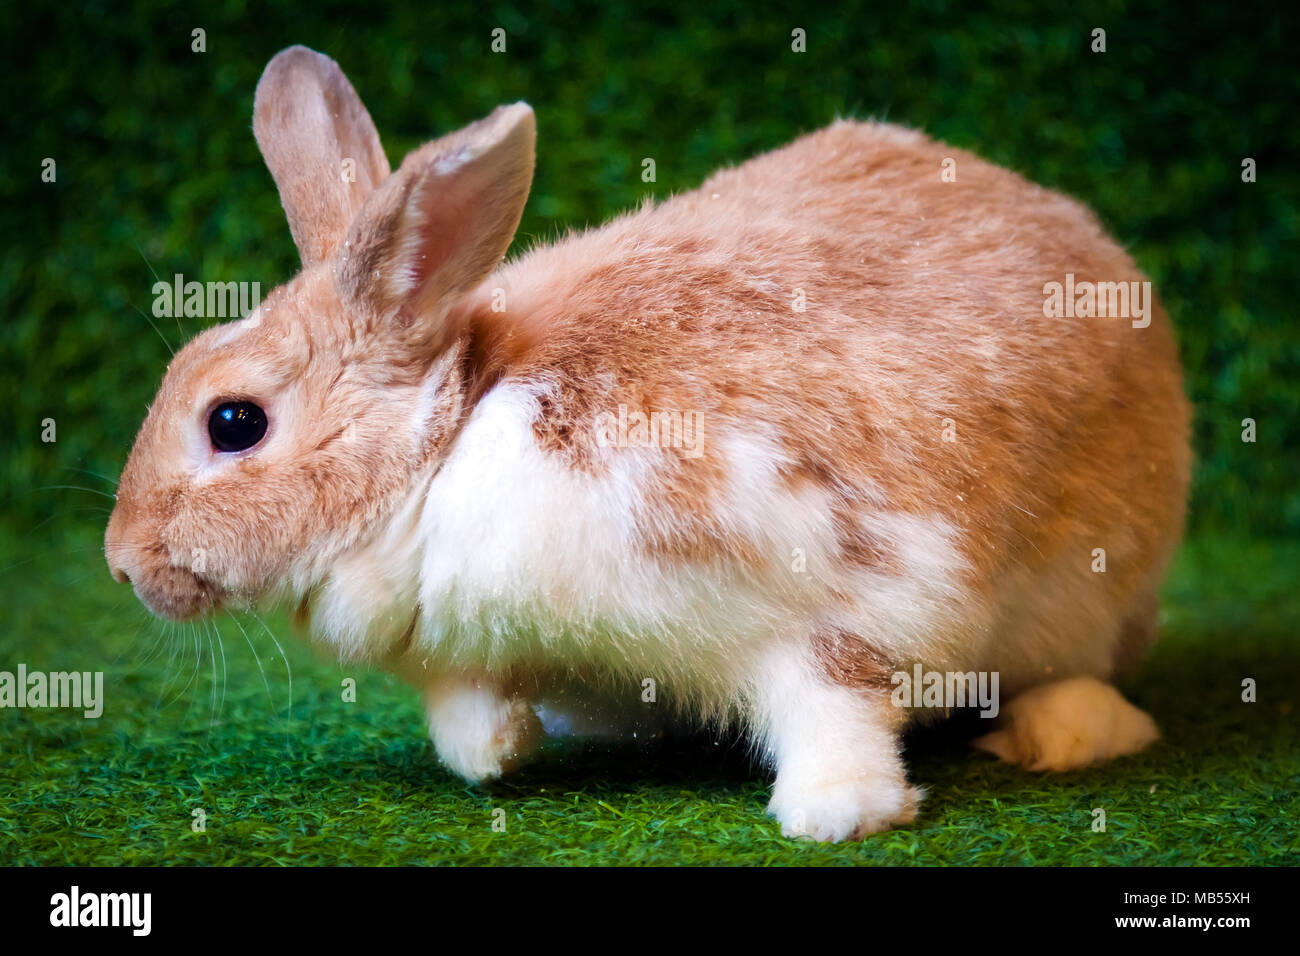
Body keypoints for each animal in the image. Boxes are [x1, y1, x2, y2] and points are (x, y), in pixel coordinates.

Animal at [104, 45, 1190, 842]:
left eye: (233, 421)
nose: (120, 564)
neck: (449, 448)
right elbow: (466, 713)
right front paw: (498, 751)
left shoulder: (830, 588)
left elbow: (832, 699)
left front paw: (837, 814)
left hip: (1090, 592)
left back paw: (1064, 733)